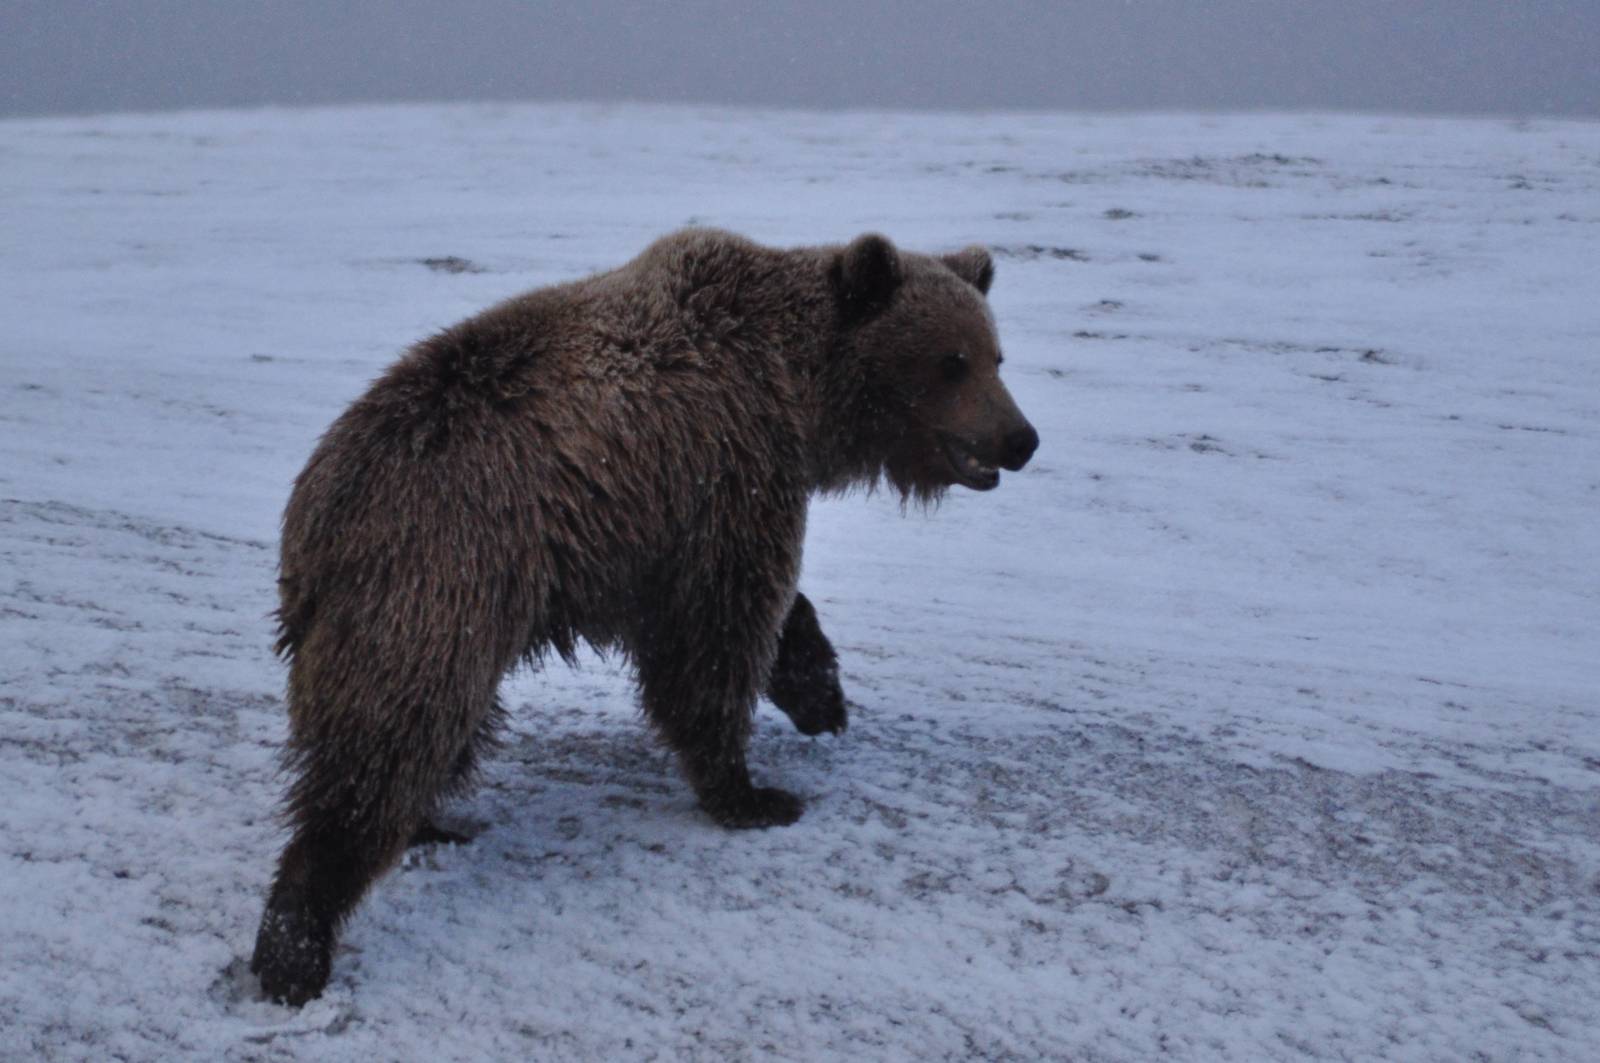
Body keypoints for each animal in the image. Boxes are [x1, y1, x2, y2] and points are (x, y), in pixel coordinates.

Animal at [250, 228, 1038, 1005]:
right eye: (951, 361)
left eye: (996, 354)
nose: (1021, 438)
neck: (798, 386)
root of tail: (318, 512)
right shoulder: (724, 468)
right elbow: (720, 630)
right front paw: (753, 792)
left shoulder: (670, 524)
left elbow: (757, 610)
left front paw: (821, 694)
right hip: (442, 572)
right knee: (388, 736)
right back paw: (296, 946)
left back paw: (428, 824)